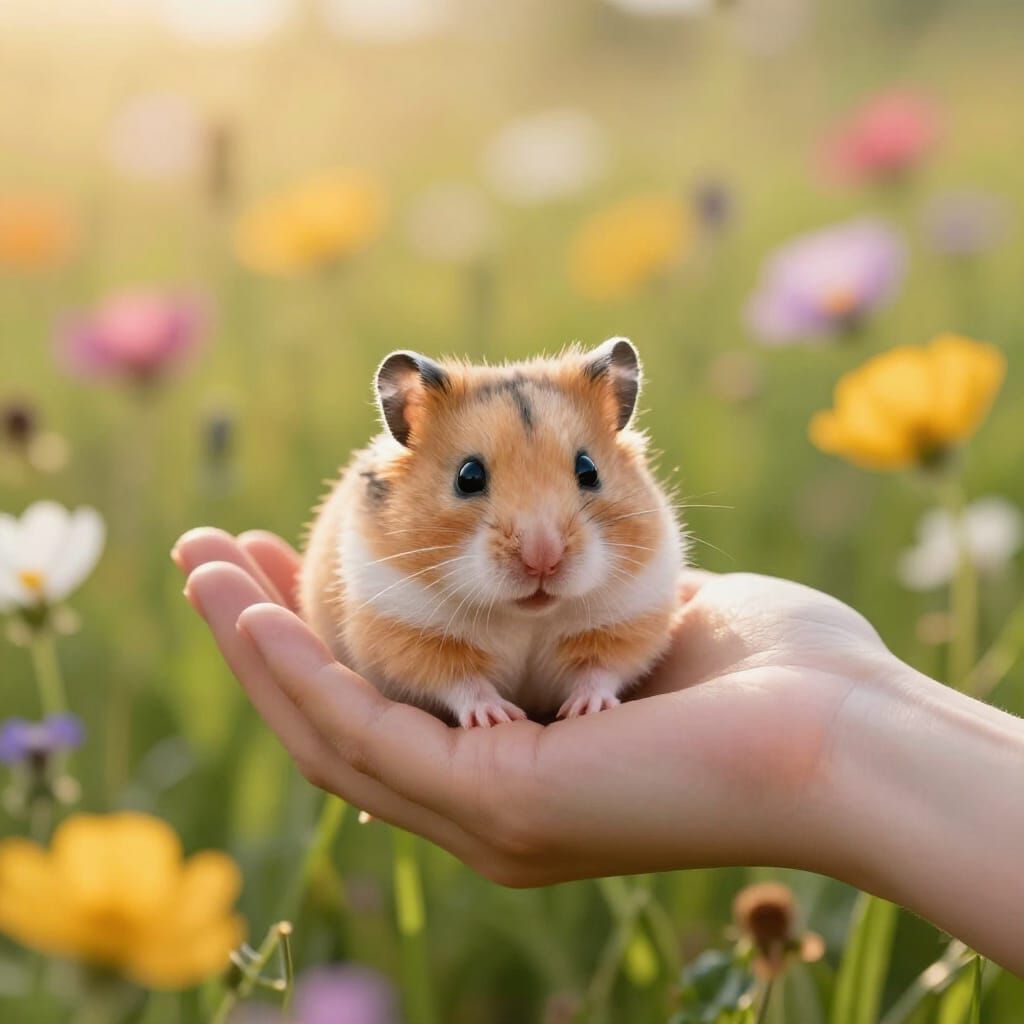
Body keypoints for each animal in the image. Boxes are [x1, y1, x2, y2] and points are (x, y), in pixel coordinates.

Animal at [299, 338, 684, 727]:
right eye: (468, 476)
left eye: (589, 470)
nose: (542, 559)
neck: (526, 615)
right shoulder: (404, 628)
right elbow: (460, 681)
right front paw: (498, 716)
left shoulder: (629, 615)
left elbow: (602, 669)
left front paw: (586, 708)